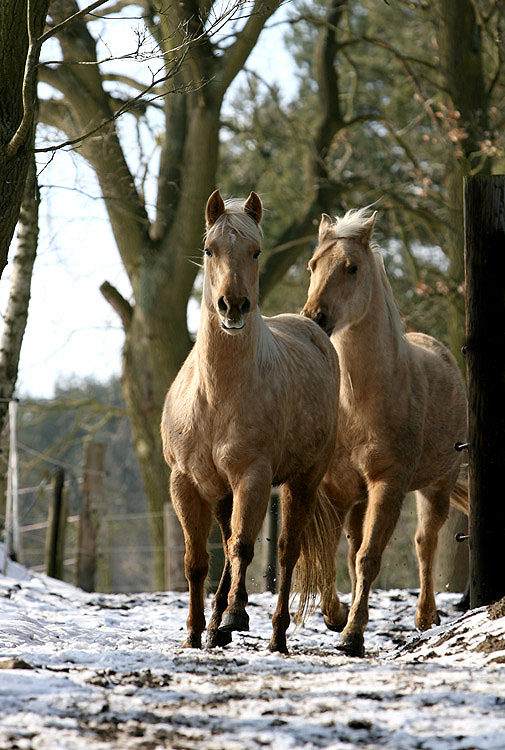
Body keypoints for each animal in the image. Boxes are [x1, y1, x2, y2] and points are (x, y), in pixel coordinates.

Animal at [163, 191, 340, 656]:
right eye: (210, 250)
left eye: (256, 251)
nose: (233, 306)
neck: (216, 395)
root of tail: (312, 329)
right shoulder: (185, 482)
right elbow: (197, 560)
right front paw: (195, 630)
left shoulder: (254, 476)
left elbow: (243, 547)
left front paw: (233, 617)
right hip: (222, 491)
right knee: (225, 543)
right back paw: (215, 624)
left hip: (302, 481)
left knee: (286, 552)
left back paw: (275, 634)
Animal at [298, 207, 466, 656]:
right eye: (313, 265)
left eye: (351, 268)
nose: (314, 317)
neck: (359, 402)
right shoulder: (337, 489)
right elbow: (335, 554)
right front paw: (336, 616)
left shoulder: (388, 485)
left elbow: (369, 557)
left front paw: (352, 635)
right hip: (360, 498)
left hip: (437, 486)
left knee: (425, 543)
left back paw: (426, 616)